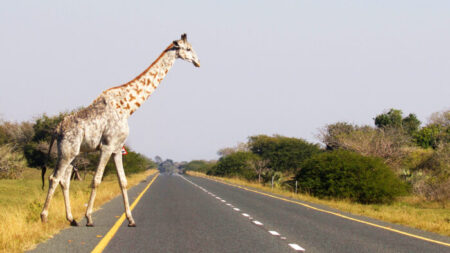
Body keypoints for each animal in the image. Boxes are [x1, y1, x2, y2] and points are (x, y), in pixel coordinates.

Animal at [40, 34, 200, 227]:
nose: (198, 62)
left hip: (74, 153)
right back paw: (44, 217)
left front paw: (131, 219)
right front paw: (89, 218)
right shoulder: (107, 146)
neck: (127, 107)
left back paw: (71, 219)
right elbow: (96, 180)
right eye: (188, 49)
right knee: (54, 178)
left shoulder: (117, 148)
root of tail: (56, 130)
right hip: (66, 151)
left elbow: (123, 181)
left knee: (64, 181)